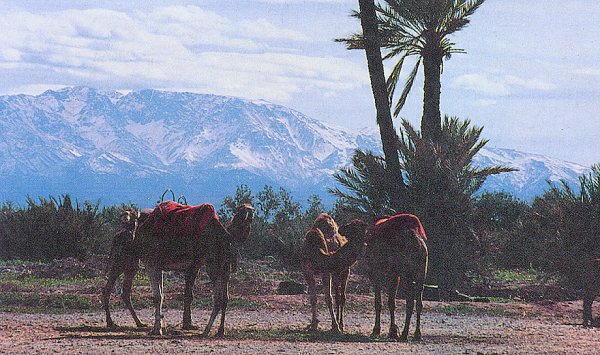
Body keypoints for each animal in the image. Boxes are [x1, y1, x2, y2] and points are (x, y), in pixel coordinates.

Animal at [132, 202, 254, 338]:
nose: (249, 210)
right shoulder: (158, 265)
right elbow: (162, 295)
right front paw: (161, 327)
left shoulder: (151, 263)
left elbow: (157, 296)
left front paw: (157, 330)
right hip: (222, 268)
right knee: (224, 298)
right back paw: (219, 331)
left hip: (214, 266)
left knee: (218, 299)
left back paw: (206, 331)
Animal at [366, 214, 426, 342]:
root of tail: (418, 244)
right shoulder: (394, 274)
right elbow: (392, 303)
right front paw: (393, 331)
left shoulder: (377, 272)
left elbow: (379, 302)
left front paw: (377, 330)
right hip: (420, 275)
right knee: (418, 303)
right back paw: (417, 334)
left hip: (407, 275)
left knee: (410, 302)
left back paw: (405, 333)